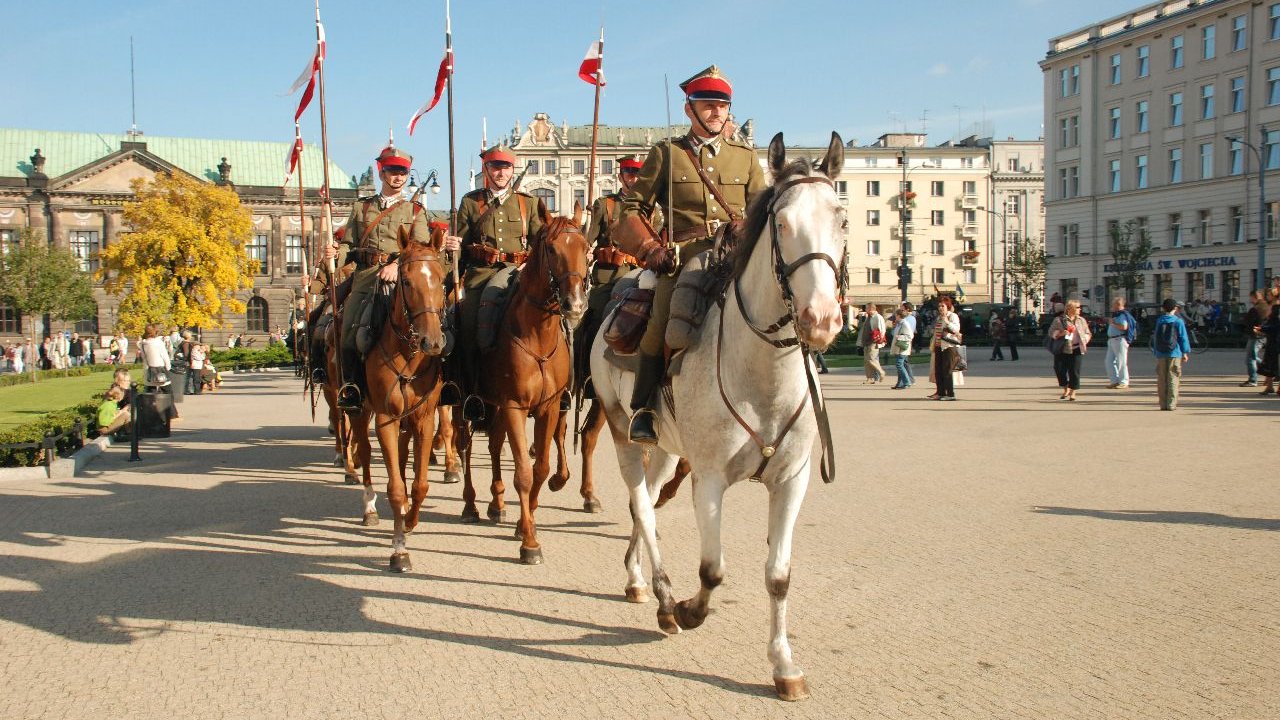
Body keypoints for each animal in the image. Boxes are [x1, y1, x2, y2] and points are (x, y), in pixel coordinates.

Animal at [455, 210, 588, 563]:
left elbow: (540, 467)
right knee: (464, 446)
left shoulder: (549, 408)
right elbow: (525, 474)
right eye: (552, 249)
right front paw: (529, 541)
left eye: (585, 247)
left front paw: (523, 523)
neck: (537, 334)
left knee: (493, 446)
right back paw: (471, 504)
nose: (574, 304)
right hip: (463, 403)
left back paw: (497, 502)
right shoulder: (515, 407)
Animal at [591, 131, 849, 696]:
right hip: (622, 432)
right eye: (781, 223)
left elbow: (779, 575)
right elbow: (712, 570)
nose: (821, 319)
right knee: (642, 506)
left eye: (841, 219)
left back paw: (637, 579)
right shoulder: (708, 479)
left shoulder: (792, 481)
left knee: (643, 507)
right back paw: (666, 599)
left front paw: (784, 665)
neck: (763, 375)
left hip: (666, 448)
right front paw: (690, 609)